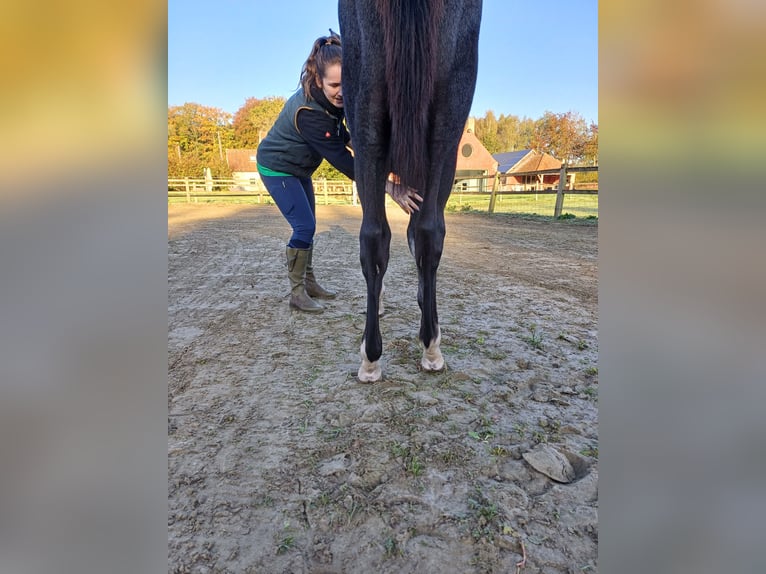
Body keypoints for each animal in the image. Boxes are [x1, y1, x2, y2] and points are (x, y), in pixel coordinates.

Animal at [340, 1, 484, 388]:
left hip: (370, 122)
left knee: (379, 236)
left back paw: (377, 354)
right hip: (444, 123)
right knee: (419, 234)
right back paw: (424, 346)